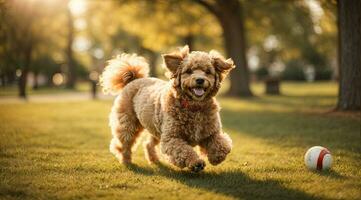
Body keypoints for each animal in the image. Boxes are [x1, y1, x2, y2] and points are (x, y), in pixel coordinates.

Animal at [99, 45, 233, 172]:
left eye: (208, 72)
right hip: (128, 124)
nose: (200, 80)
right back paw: (126, 161)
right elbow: (184, 150)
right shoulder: (171, 138)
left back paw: (153, 160)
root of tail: (134, 79)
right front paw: (195, 163)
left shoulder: (211, 132)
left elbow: (221, 144)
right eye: (189, 71)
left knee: (148, 144)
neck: (194, 107)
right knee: (123, 145)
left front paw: (216, 157)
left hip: (156, 128)